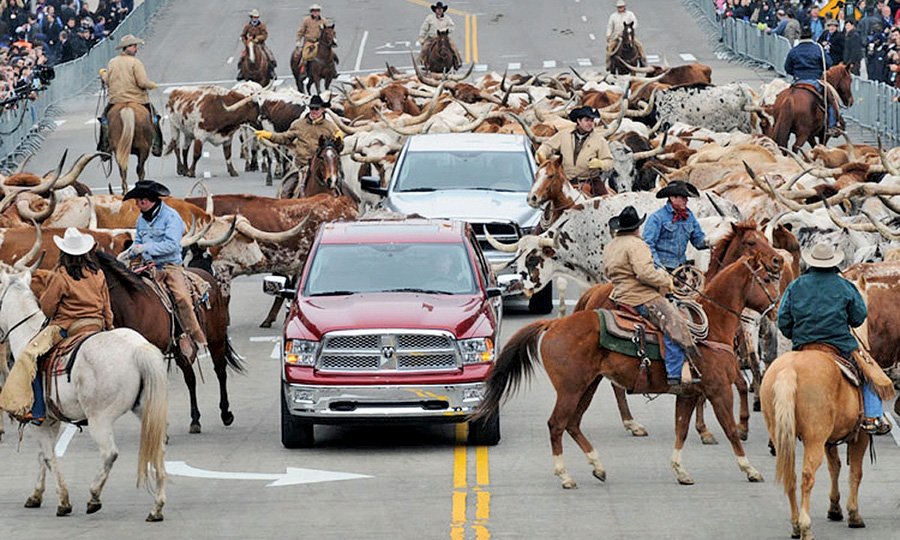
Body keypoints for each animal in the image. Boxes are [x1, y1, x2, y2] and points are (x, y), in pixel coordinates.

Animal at [0, 270, 168, 524]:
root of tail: (138, 349)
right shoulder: (51, 421)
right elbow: (43, 455)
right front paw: (36, 496)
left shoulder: (39, 422)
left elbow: (48, 457)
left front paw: (63, 502)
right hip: (147, 412)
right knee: (157, 449)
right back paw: (156, 508)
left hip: (100, 419)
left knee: (110, 454)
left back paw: (94, 496)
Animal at [96, 253, 244, 434]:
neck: (134, 305)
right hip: (181, 352)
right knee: (191, 379)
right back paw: (195, 420)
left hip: (216, 338)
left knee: (220, 371)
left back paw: (226, 414)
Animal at [478, 253, 780, 490]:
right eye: (766, 279)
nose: (776, 308)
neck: (712, 325)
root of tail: (553, 324)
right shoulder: (718, 390)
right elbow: (729, 429)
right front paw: (750, 468)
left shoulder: (688, 393)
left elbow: (681, 430)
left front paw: (680, 470)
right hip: (571, 389)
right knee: (557, 424)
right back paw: (565, 475)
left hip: (588, 386)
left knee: (572, 423)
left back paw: (597, 466)